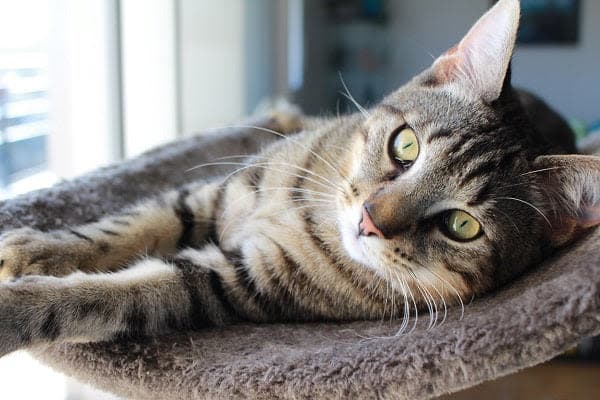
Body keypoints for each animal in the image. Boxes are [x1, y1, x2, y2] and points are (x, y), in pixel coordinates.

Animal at [1, 0, 600, 356]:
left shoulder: (233, 281)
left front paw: (17, 310)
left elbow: (106, 294)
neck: (308, 211)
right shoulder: (214, 193)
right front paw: (38, 248)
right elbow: (131, 225)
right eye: (404, 145)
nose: (369, 221)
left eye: (461, 226)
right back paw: (283, 112)